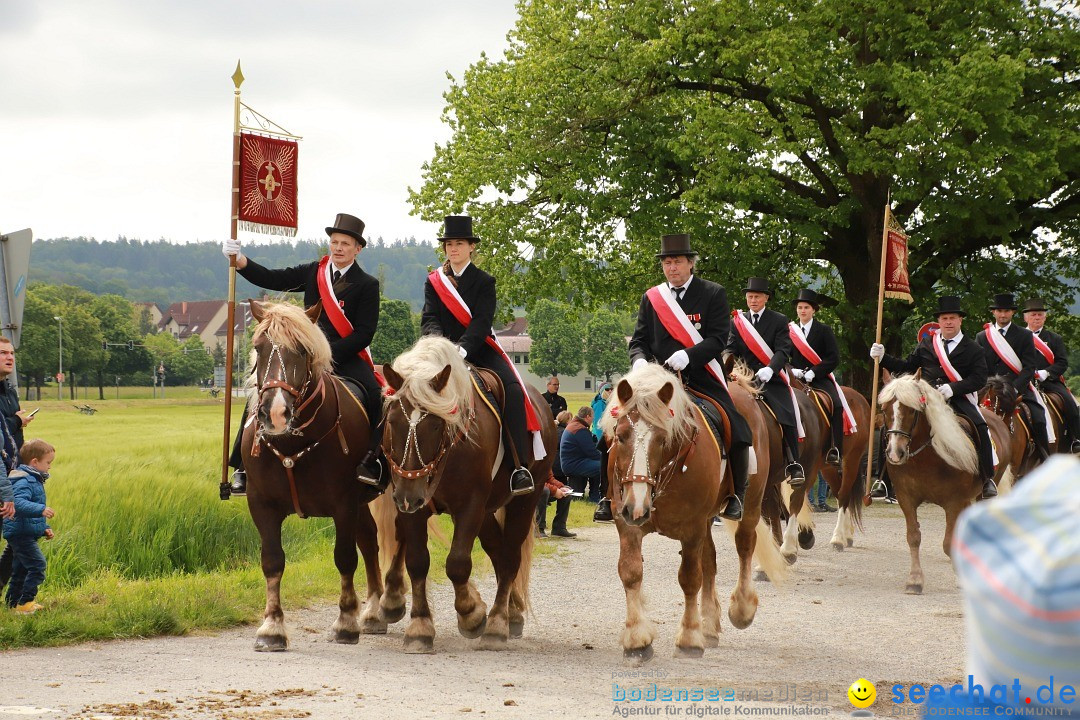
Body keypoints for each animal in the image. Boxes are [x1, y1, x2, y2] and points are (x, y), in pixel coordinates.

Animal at [240, 302, 401, 651]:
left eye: (301, 350)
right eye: (258, 348)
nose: (275, 414)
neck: (293, 443)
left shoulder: (343, 504)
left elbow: (344, 558)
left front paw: (345, 623)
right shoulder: (261, 505)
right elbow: (272, 561)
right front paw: (271, 627)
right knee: (369, 541)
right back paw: (373, 613)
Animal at [380, 336, 557, 651]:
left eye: (435, 424)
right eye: (392, 421)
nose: (409, 495)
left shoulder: (470, 506)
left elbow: (458, 564)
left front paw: (472, 615)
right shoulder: (414, 508)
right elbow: (417, 561)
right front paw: (420, 627)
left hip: (524, 501)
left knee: (510, 557)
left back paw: (497, 624)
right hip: (485, 512)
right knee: (498, 551)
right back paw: (512, 614)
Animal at [600, 362, 786, 660]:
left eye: (662, 439)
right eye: (619, 437)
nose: (636, 506)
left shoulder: (691, 529)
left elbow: (689, 578)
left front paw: (688, 639)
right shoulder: (627, 522)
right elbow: (631, 572)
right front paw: (637, 639)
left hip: (751, 503)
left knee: (745, 545)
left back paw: (742, 609)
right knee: (709, 561)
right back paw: (709, 626)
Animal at [876, 375, 1010, 595]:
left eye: (912, 410)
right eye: (884, 409)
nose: (895, 453)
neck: (925, 458)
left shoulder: (953, 503)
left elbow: (949, 543)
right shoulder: (906, 498)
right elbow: (913, 537)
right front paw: (914, 580)